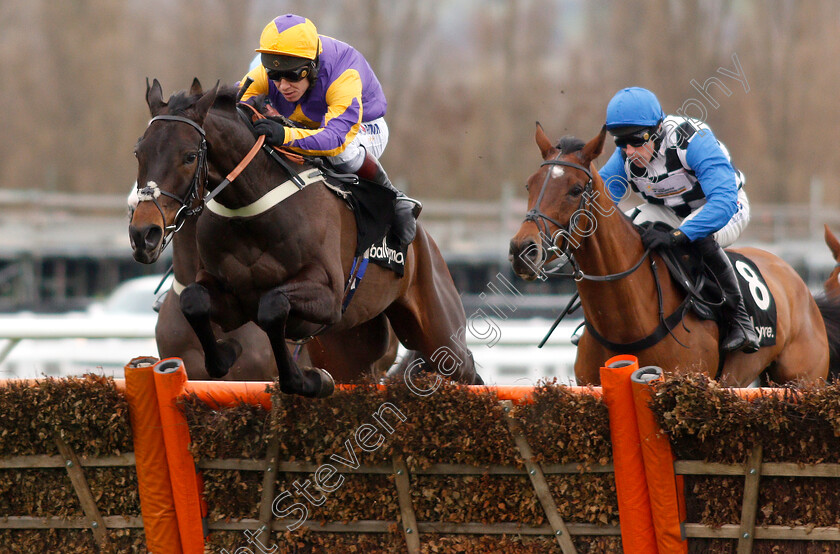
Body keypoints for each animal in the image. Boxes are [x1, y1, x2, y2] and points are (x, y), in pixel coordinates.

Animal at [127, 80, 476, 394]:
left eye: (188, 156)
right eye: (138, 153)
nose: (143, 233)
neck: (252, 212)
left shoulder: (328, 296)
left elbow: (272, 305)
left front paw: (307, 380)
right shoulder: (230, 303)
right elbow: (194, 300)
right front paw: (226, 353)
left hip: (437, 328)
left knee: (461, 364)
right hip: (353, 350)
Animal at [508, 124, 836, 384]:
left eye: (575, 190)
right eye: (529, 185)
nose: (523, 250)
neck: (624, 322)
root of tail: (799, 284)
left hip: (803, 381)